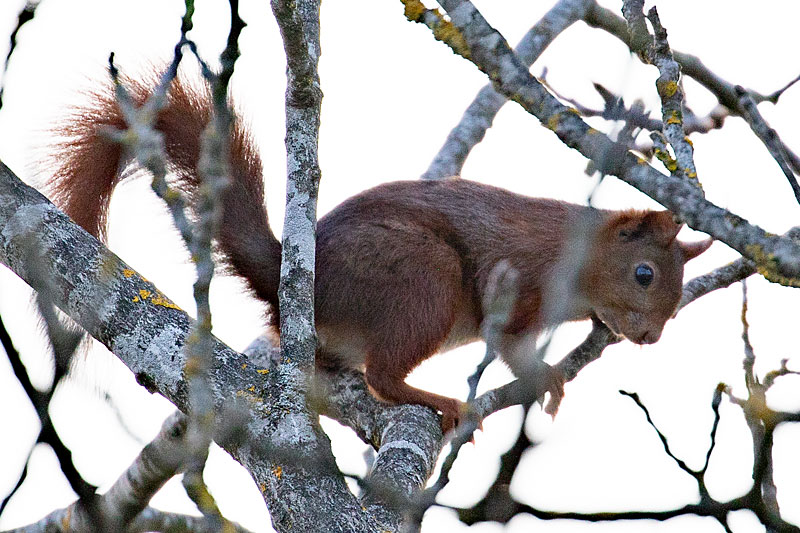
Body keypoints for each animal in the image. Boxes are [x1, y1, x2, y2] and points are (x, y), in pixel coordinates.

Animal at [45, 76, 712, 433]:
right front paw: (545, 378)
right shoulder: (522, 282)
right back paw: (435, 400)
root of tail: (297, 283)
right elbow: (510, 345)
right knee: (384, 379)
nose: (651, 336)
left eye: (678, 295)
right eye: (645, 274)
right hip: (424, 280)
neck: (579, 259)